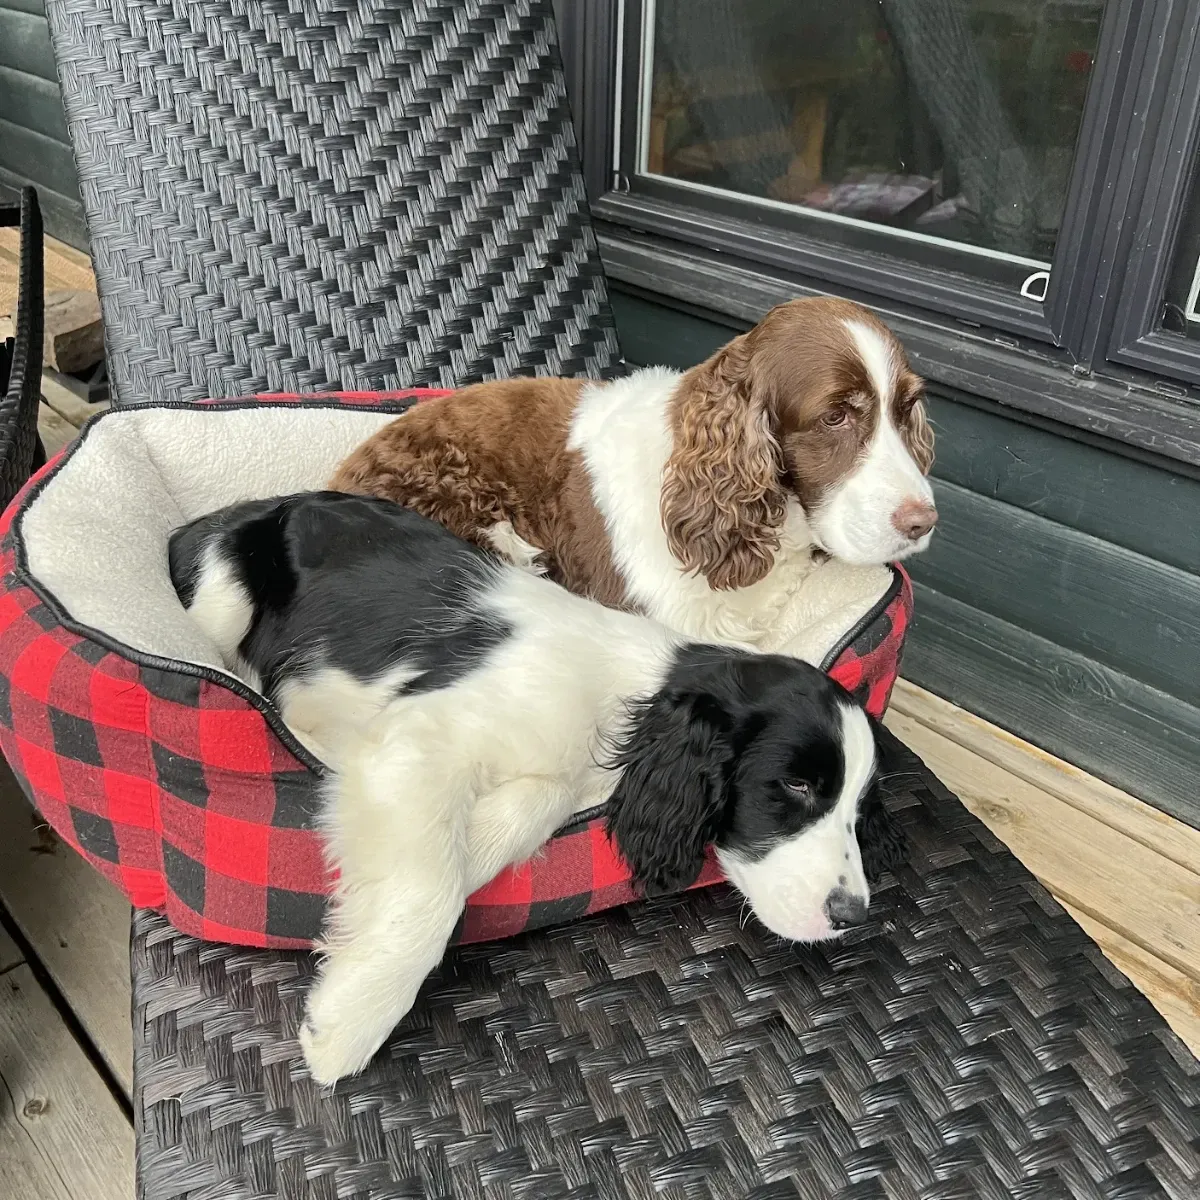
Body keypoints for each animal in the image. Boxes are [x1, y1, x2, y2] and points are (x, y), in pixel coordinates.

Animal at [170, 490, 905, 1085]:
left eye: (859, 808)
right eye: (796, 785)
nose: (854, 914)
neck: (627, 692)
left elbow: (518, 814)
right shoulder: (417, 738)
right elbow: (429, 892)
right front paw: (349, 1019)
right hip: (223, 587)